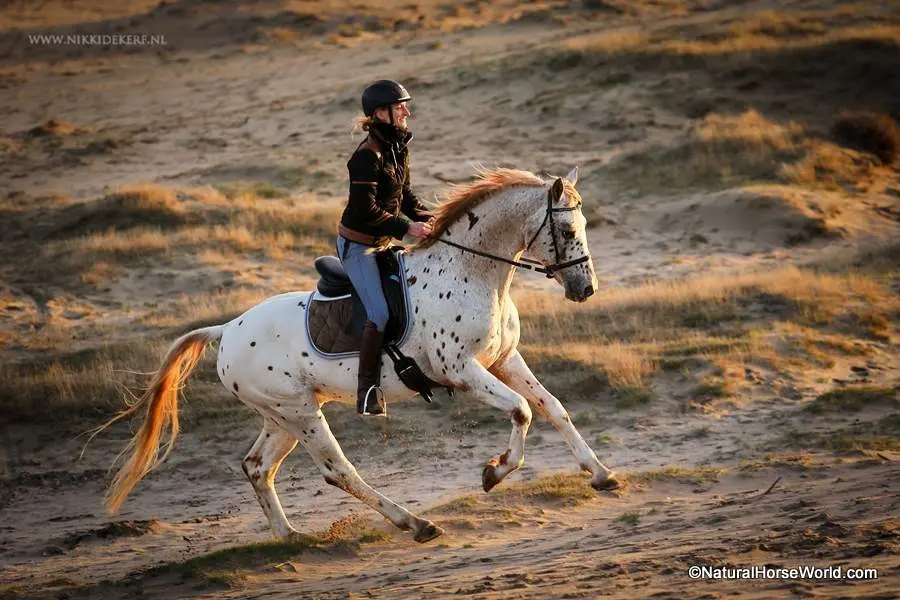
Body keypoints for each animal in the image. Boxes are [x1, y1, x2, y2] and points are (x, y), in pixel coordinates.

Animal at [101, 166, 621, 544]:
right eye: (567, 228)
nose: (586, 289)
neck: (471, 273)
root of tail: (227, 329)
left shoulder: (503, 360)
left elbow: (553, 407)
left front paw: (601, 474)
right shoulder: (463, 371)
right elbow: (521, 412)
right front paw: (494, 472)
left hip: (282, 414)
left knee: (257, 466)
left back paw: (290, 536)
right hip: (301, 413)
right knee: (338, 470)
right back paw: (416, 524)